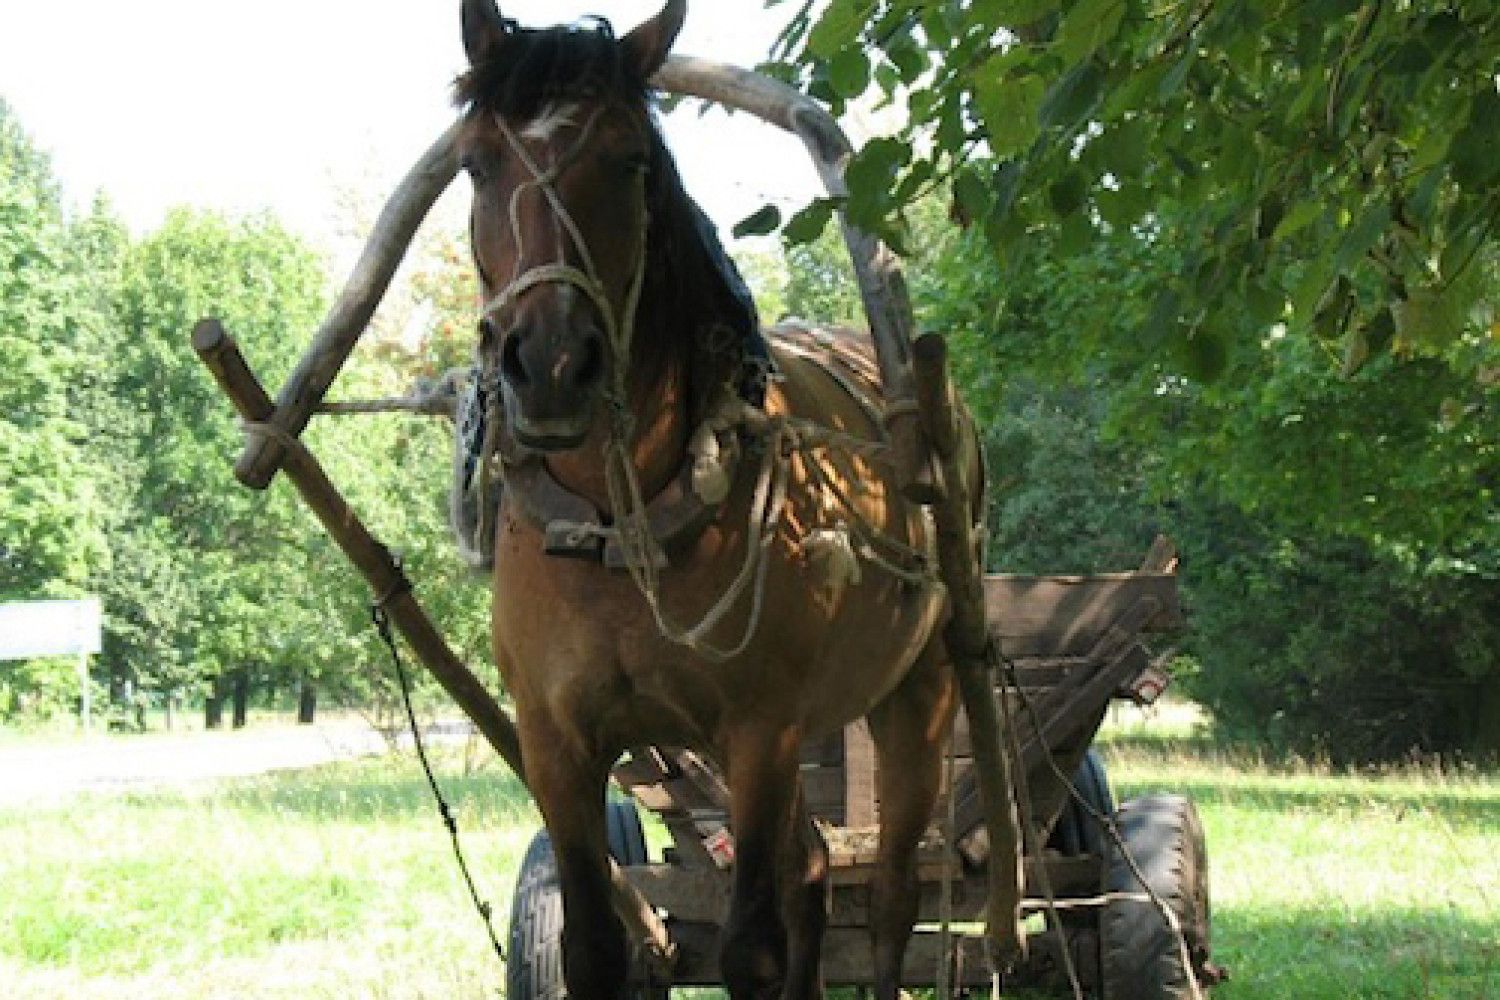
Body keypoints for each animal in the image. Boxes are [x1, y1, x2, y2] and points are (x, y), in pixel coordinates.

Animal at [456, 3, 972, 995]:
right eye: (475, 160)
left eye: (629, 159)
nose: (551, 366)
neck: (622, 526)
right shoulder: (556, 743)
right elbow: (592, 944)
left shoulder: (759, 729)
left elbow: (751, 948)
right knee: (814, 872)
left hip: (916, 699)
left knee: (891, 897)